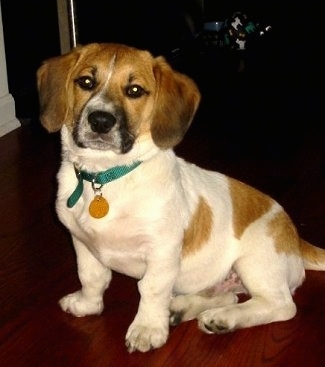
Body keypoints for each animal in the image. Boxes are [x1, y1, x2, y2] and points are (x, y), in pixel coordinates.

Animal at [36, 42, 324, 354]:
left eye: (135, 90)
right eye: (86, 82)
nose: (100, 121)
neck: (106, 177)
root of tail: (296, 240)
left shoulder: (162, 252)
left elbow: (150, 289)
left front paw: (147, 329)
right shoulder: (83, 243)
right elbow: (92, 278)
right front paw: (87, 306)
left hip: (255, 262)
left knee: (281, 306)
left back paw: (222, 318)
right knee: (231, 296)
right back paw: (186, 311)